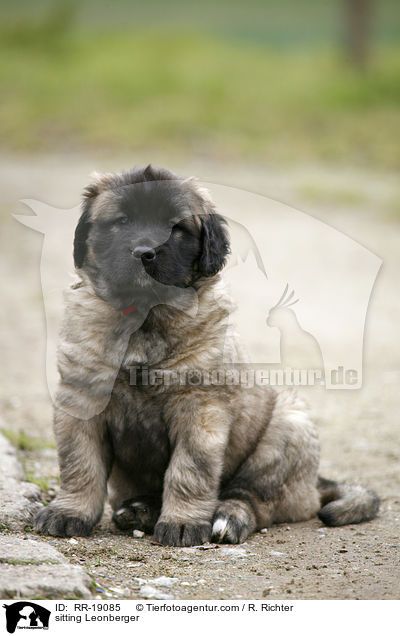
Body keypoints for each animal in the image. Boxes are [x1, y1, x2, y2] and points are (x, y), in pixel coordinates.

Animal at [33, 165, 378, 548]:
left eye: (175, 227)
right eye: (121, 221)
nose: (144, 252)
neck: (145, 317)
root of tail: (314, 485)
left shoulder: (200, 407)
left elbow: (189, 470)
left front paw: (183, 522)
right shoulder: (81, 400)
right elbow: (80, 465)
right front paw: (69, 512)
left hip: (287, 428)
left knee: (252, 497)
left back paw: (226, 519)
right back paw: (140, 510)